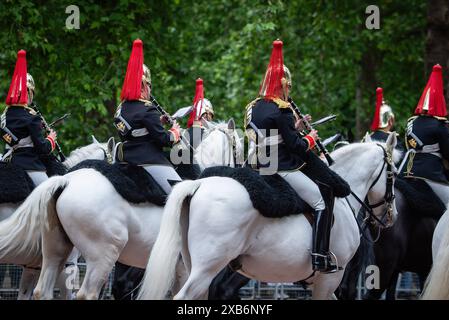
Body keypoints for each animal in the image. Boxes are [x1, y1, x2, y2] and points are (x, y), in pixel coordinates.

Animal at [19, 121, 242, 298]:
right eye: (239, 148)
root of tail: (66, 181)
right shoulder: (181, 269)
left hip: (55, 250)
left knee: (42, 290)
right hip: (103, 255)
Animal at [139, 136, 400, 300]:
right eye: (394, 174)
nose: (392, 216)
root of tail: (198, 184)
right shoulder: (330, 278)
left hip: (193, 265)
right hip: (206, 268)